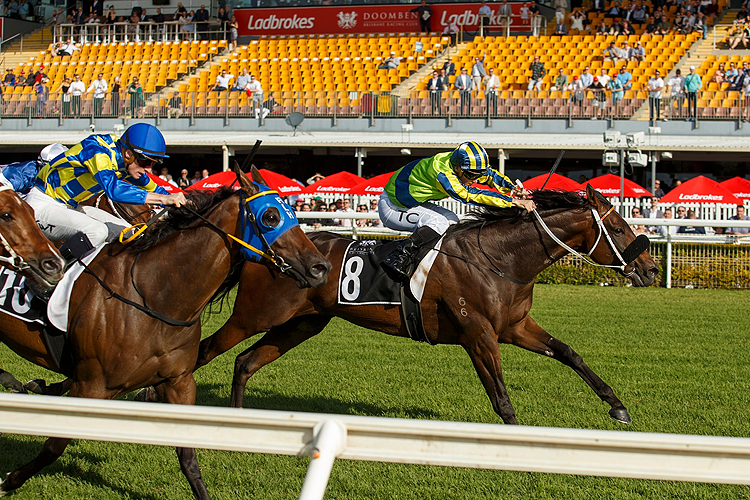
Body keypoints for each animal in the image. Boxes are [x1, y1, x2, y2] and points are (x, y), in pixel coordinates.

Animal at [0, 169, 330, 500]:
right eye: (271, 216)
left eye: (293, 214)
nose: (321, 267)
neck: (153, 295)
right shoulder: (91, 385)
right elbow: (53, 446)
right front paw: (10, 480)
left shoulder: (178, 382)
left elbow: (189, 458)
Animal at [188, 185, 656, 426]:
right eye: (618, 227)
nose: (650, 269)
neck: (500, 260)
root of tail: (260, 247)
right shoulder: (478, 334)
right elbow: (501, 397)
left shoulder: (514, 326)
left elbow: (569, 353)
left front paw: (617, 405)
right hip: (253, 315)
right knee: (203, 352)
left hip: (301, 323)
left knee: (244, 362)